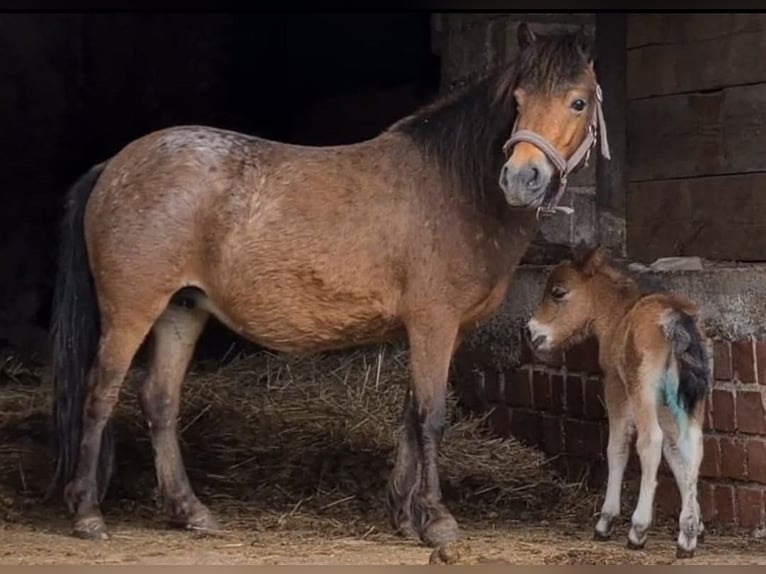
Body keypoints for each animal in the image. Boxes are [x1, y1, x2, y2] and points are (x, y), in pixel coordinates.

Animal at [48, 22, 612, 548]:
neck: (456, 187)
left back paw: (190, 511)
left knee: (159, 400)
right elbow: (430, 417)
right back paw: (88, 513)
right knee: (101, 392)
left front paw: (404, 516)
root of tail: (113, 166)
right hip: (132, 309)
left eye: (578, 102)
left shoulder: (434, 332)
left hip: (181, 309)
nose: (521, 178)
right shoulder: (433, 324)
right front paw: (437, 521)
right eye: (517, 100)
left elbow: (408, 416)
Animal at [528, 246, 712, 560]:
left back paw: (638, 530)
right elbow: (676, 454)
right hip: (691, 397)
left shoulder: (615, 385)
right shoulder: (667, 402)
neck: (619, 315)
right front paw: (693, 525)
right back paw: (686, 539)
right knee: (694, 444)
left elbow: (617, 446)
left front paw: (606, 521)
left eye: (558, 292)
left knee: (650, 441)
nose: (531, 333)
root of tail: (673, 317)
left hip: (642, 388)